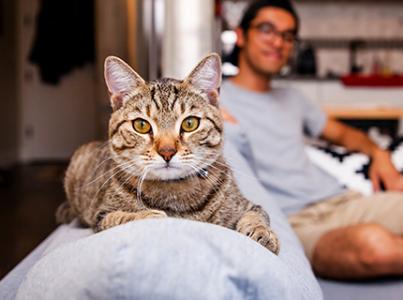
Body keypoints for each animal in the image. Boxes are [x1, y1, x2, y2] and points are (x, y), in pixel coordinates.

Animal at [55, 53, 280, 253]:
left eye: (190, 123)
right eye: (141, 125)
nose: (167, 151)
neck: (175, 192)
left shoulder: (249, 206)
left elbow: (257, 216)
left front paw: (263, 233)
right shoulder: (101, 215)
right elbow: (122, 217)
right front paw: (150, 216)